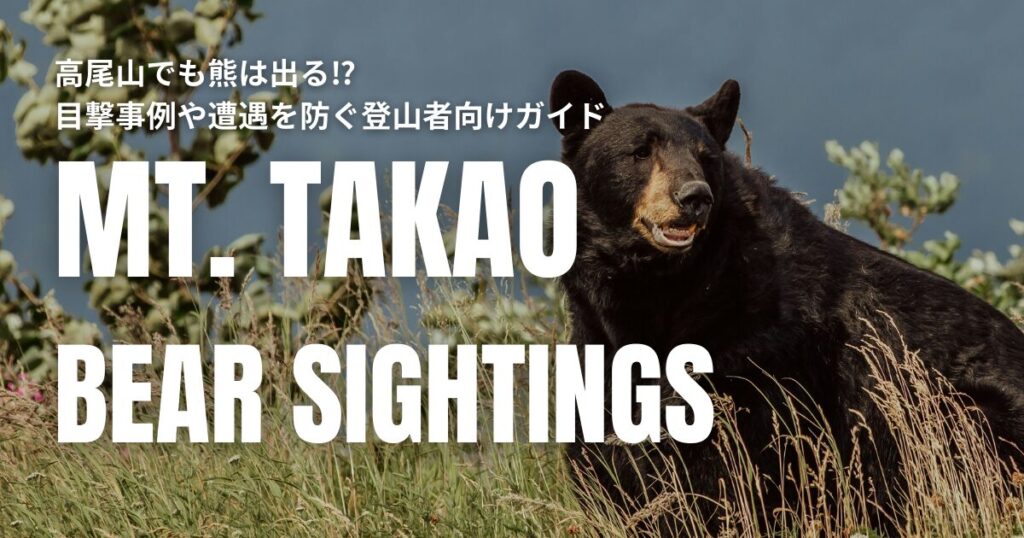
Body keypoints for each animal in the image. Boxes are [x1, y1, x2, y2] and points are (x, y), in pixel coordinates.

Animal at [549, 69, 1024, 534]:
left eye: (706, 157)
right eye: (641, 151)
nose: (694, 196)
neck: (664, 288)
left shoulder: (763, 353)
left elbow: (730, 461)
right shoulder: (597, 345)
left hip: (956, 409)